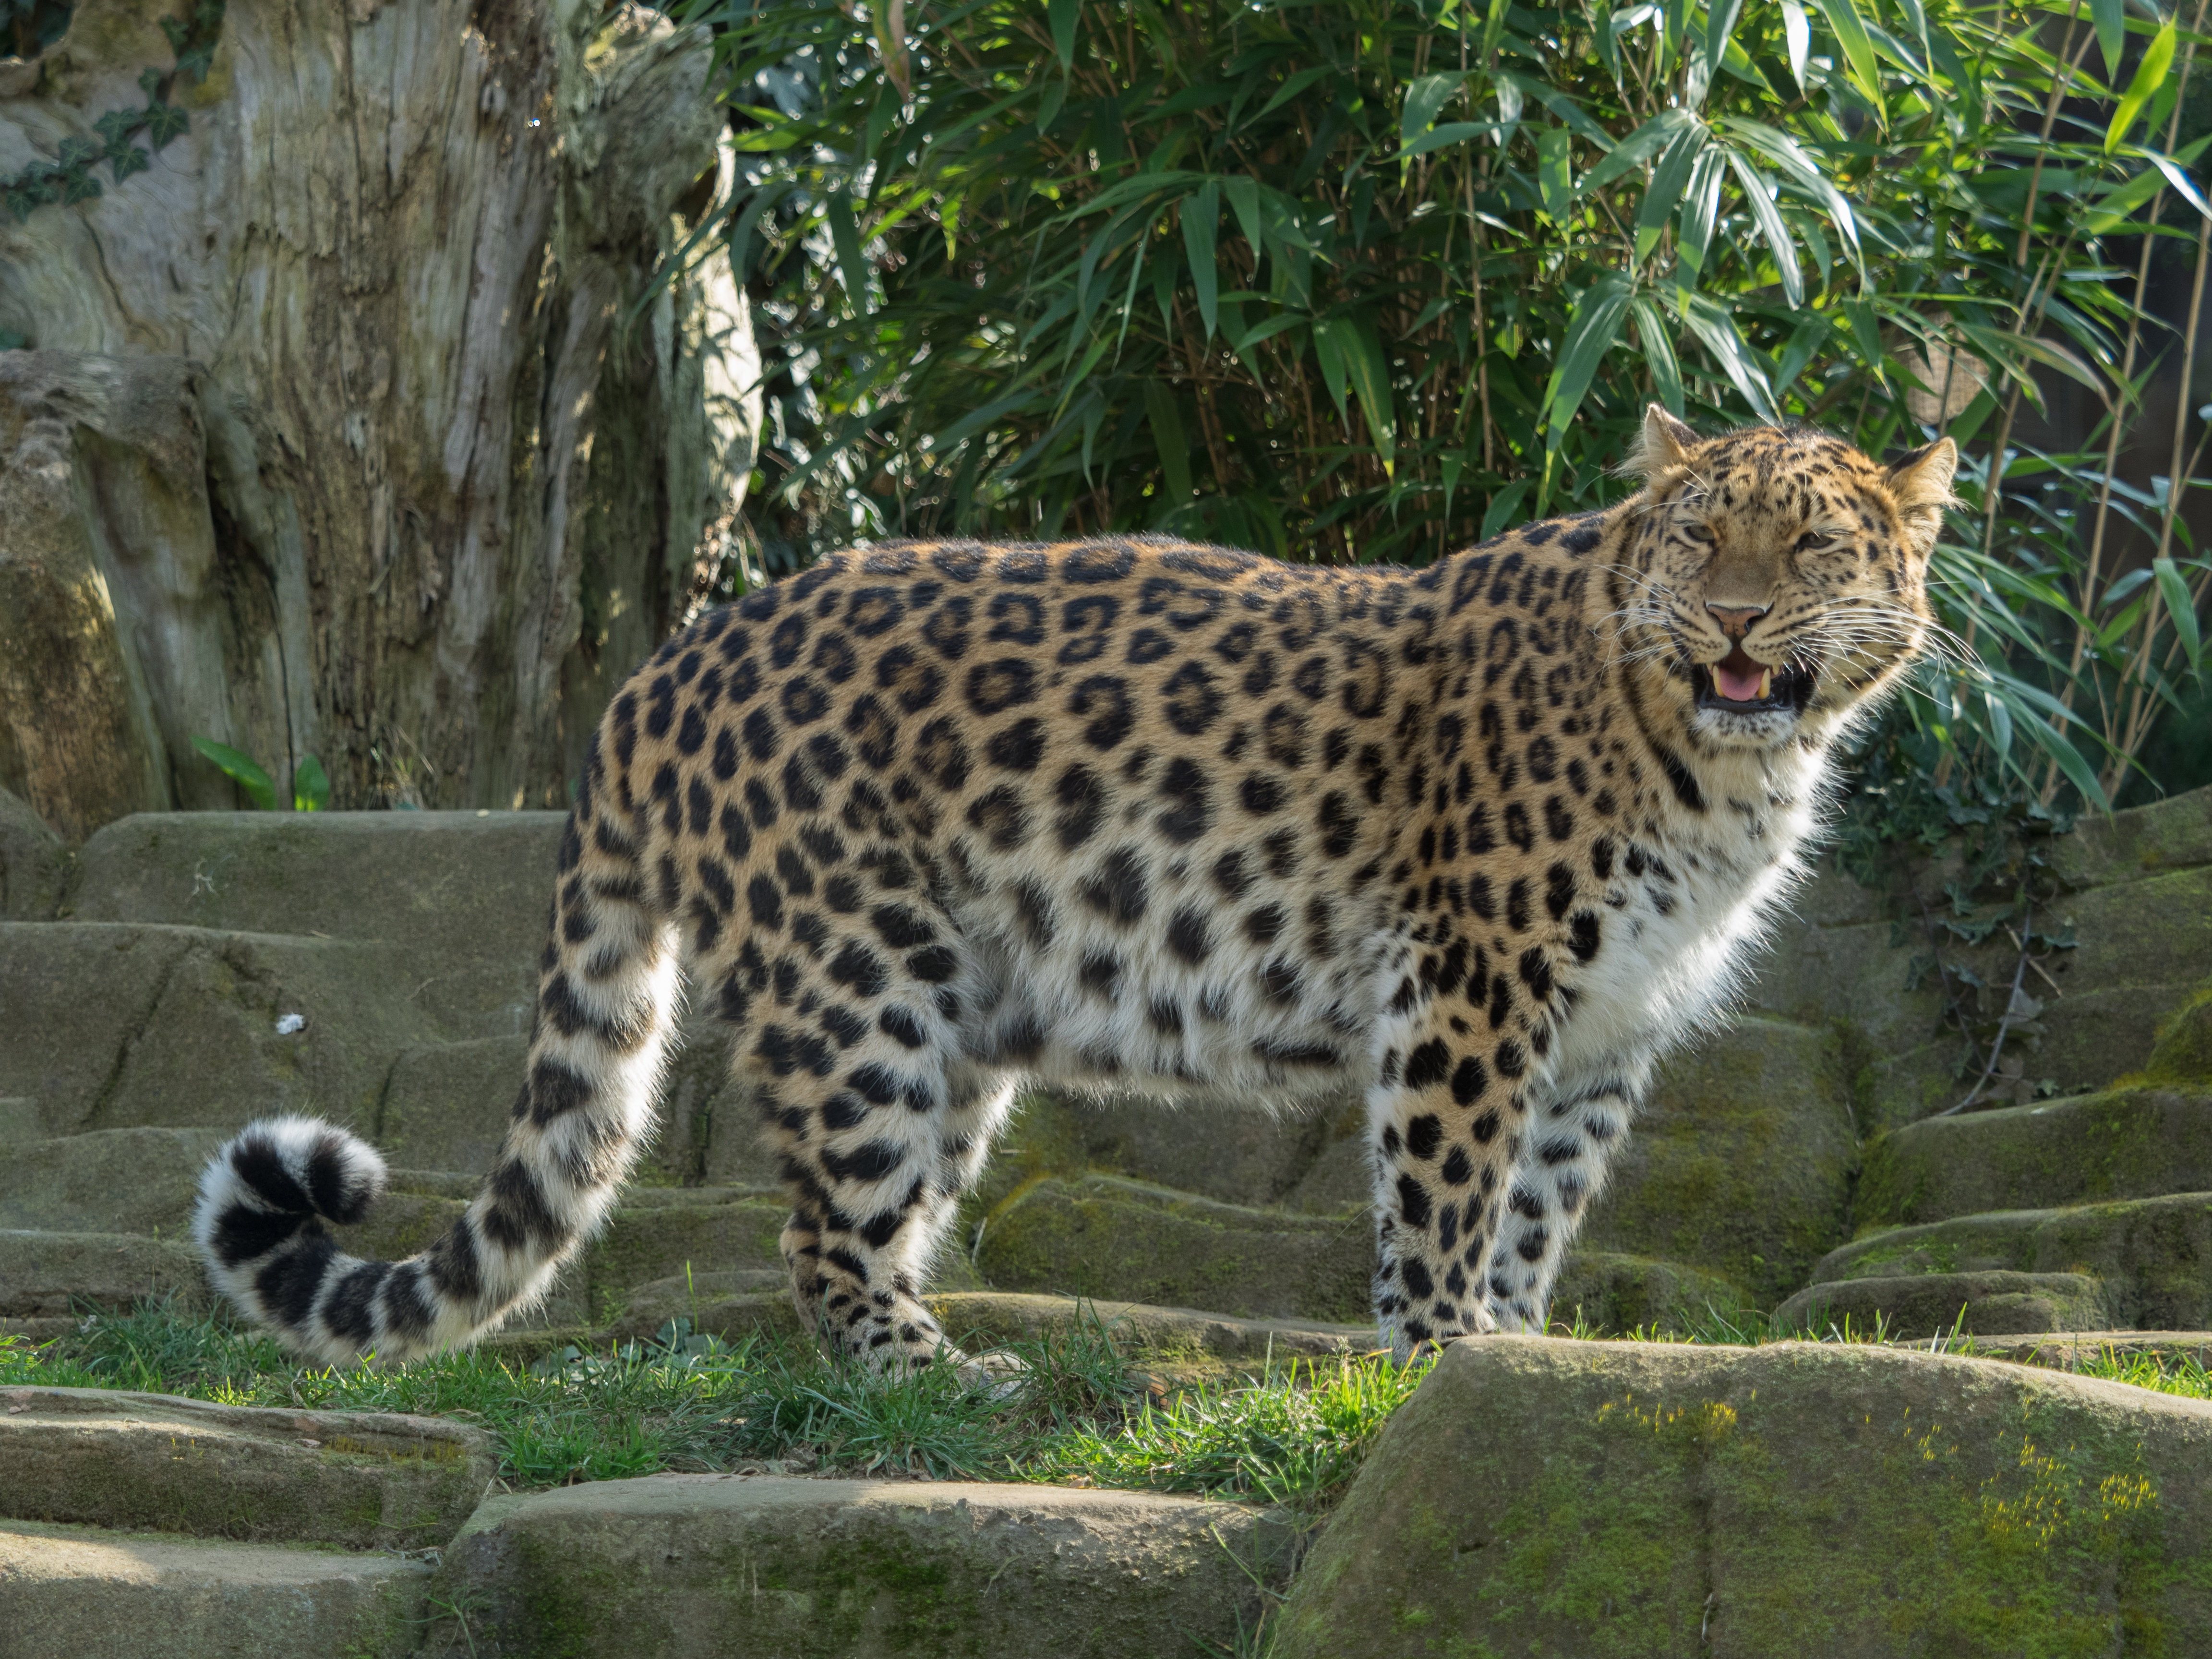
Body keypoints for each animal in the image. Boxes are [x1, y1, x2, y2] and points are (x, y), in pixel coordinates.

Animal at [190, 409, 1955, 1371]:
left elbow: (1540, 1198)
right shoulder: (1470, 983)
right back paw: (940, 1383)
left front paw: (1510, 1357)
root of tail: (661, 669)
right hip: (858, 985)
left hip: (959, 1012)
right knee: (818, 1236)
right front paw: (1442, 1349)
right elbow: (1450, 1189)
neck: (1725, 766)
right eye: (1699, 538)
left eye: (1808, 551)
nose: (1734, 623)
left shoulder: (1602, 1026)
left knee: (878, 1214)